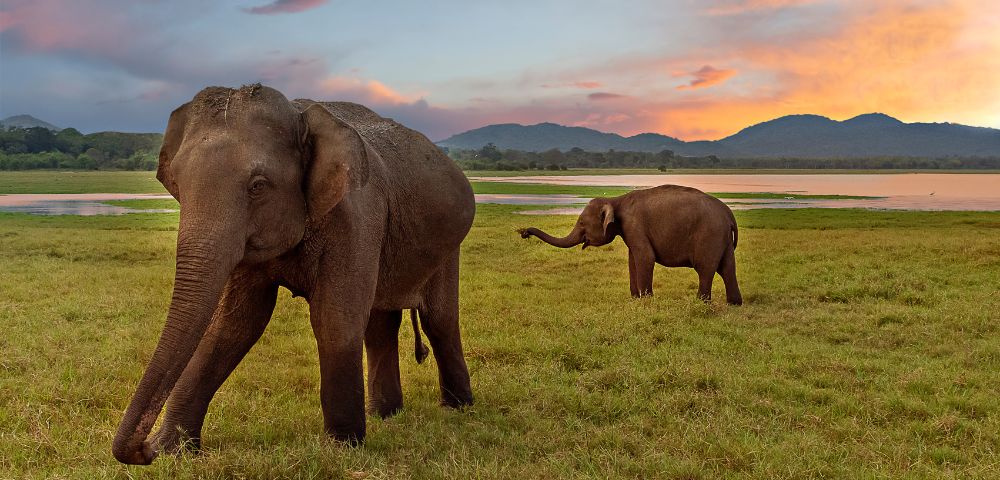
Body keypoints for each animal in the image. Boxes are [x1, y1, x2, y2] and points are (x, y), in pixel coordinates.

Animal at [112, 84, 475, 465]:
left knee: (438, 320)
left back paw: (457, 407)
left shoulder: (357, 217)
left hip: (448, 245)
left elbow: (334, 320)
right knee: (380, 325)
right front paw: (175, 450)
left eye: (257, 186)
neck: (298, 112)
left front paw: (342, 446)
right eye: (178, 185)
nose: (144, 449)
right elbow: (234, 325)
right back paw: (385, 414)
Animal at [518, 185, 742, 304]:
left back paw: (701, 302)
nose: (524, 232)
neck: (617, 200)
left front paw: (646, 300)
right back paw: (734, 304)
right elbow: (632, 259)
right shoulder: (629, 231)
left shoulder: (635, 226)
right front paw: (635, 298)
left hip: (709, 236)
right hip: (722, 239)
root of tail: (729, 214)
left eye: (581, 223)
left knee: (705, 269)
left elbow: (645, 258)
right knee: (728, 268)